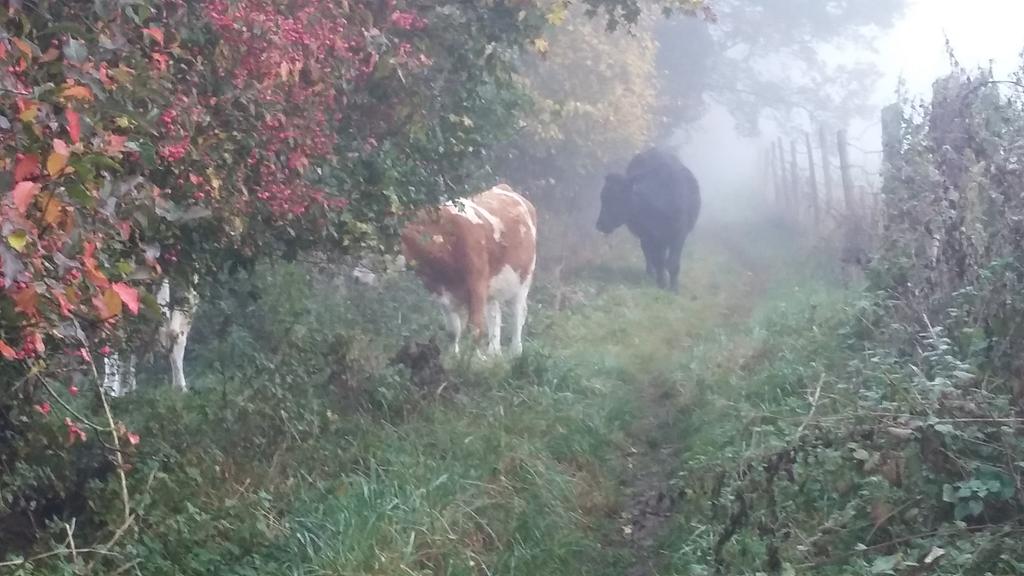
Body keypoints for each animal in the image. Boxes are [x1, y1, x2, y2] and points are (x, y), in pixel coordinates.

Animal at [400, 184, 538, 357]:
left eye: (418, 232)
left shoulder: (477, 283)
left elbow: (475, 327)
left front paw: (473, 358)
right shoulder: (440, 291)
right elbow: (453, 329)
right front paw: (454, 355)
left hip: (524, 279)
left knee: (518, 314)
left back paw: (515, 351)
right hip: (492, 287)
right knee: (495, 315)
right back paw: (494, 351)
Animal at [596, 147, 702, 292]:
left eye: (618, 198)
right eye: (603, 197)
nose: (600, 224)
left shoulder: (679, 234)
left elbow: (672, 262)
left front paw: (674, 288)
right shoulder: (651, 236)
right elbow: (658, 261)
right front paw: (661, 283)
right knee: (649, 254)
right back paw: (650, 274)